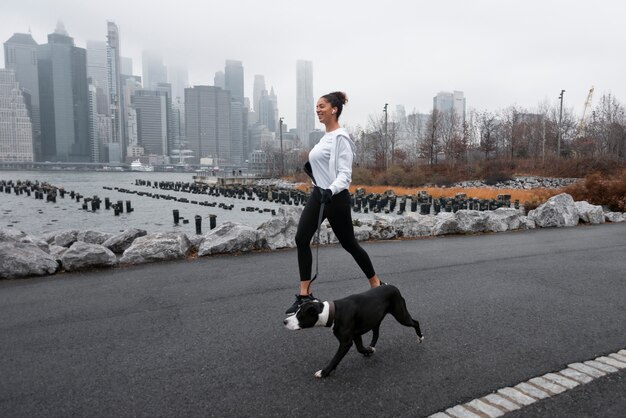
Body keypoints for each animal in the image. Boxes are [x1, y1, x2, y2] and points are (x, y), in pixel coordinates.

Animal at [284, 284, 424, 378]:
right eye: (295, 312)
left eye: (300, 316)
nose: (284, 321)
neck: (332, 312)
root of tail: (393, 287)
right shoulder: (356, 335)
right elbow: (360, 348)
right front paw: (368, 351)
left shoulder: (346, 342)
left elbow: (335, 358)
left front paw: (324, 372)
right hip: (375, 319)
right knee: (376, 333)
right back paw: (371, 347)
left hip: (400, 314)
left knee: (415, 322)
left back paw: (420, 337)